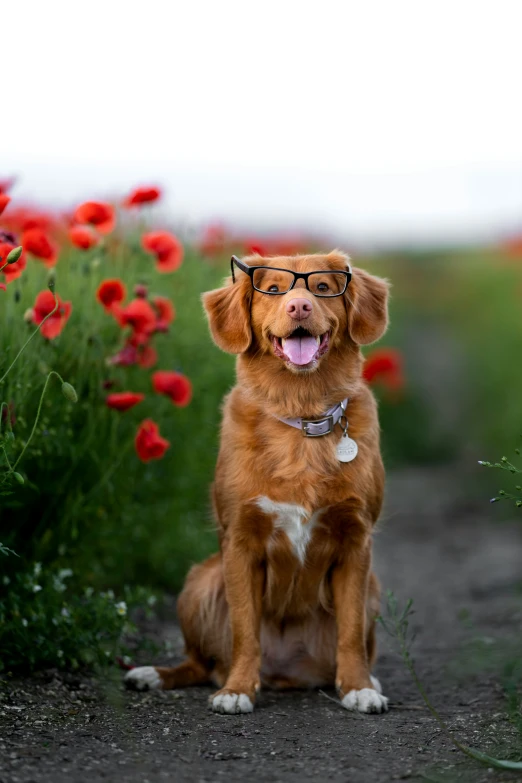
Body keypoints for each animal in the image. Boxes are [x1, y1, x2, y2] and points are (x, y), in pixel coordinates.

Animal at [124, 251, 388, 716]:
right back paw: (155, 674)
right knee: (199, 662)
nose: (298, 307)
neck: (302, 412)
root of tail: (287, 672)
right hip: (200, 581)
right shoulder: (241, 543)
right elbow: (245, 630)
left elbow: (352, 631)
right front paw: (238, 690)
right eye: (274, 290)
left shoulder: (357, 542)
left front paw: (358, 687)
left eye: (322, 288)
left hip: (373, 587)